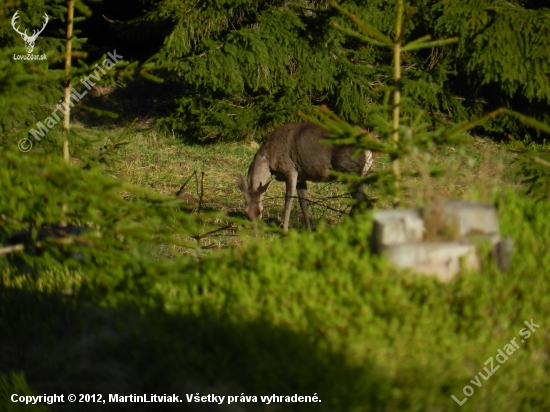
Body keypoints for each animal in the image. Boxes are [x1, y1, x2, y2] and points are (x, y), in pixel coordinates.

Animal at [239, 122, 378, 232]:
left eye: (261, 211)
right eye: (245, 212)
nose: (255, 231)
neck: (268, 159)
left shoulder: (291, 169)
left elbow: (288, 201)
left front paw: (285, 230)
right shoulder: (301, 178)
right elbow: (304, 205)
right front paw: (308, 230)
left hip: (350, 172)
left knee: (366, 204)